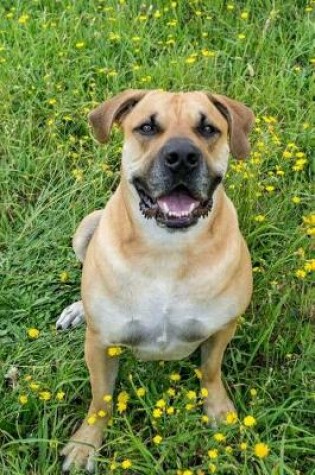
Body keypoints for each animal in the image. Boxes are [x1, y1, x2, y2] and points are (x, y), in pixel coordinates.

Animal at [56, 89, 254, 472]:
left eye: (208, 128)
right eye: (147, 127)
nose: (182, 157)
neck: (167, 252)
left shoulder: (223, 327)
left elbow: (211, 370)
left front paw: (218, 411)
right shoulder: (100, 343)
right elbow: (100, 398)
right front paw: (86, 444)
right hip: (86, 228)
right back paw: (76, 310)